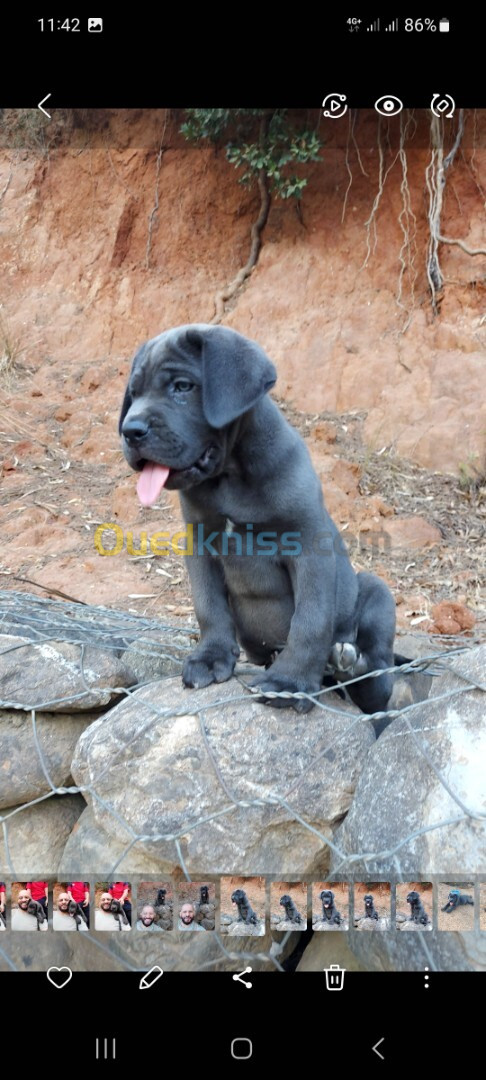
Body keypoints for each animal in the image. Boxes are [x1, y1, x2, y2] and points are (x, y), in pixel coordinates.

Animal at [119, 324, 397, 712]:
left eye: (183, 387)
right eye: (133, 393)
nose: (130, 431)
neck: (230, 476)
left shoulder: (310, 547)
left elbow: (310, 620)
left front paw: (289, 682)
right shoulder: (201, 543)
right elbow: (209, 606)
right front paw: (211, 657)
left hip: (375, 592)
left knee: (378, 682)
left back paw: (349, 664)